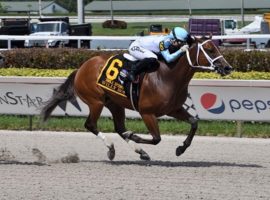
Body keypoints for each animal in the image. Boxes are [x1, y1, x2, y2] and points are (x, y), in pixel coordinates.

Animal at [41, 36, 233, 161]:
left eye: (217, 47)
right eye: (209, 49)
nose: (228, 67)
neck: (167, 76)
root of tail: (81, 68)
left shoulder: (173, 109)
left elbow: (194, 122)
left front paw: (181, 148)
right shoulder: (147, 113)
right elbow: (156, 138)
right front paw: (135, 136)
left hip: (115, 103)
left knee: (119, 128)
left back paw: (139, 151)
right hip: (96, 101)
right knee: (91, 124)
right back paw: (112, 149)